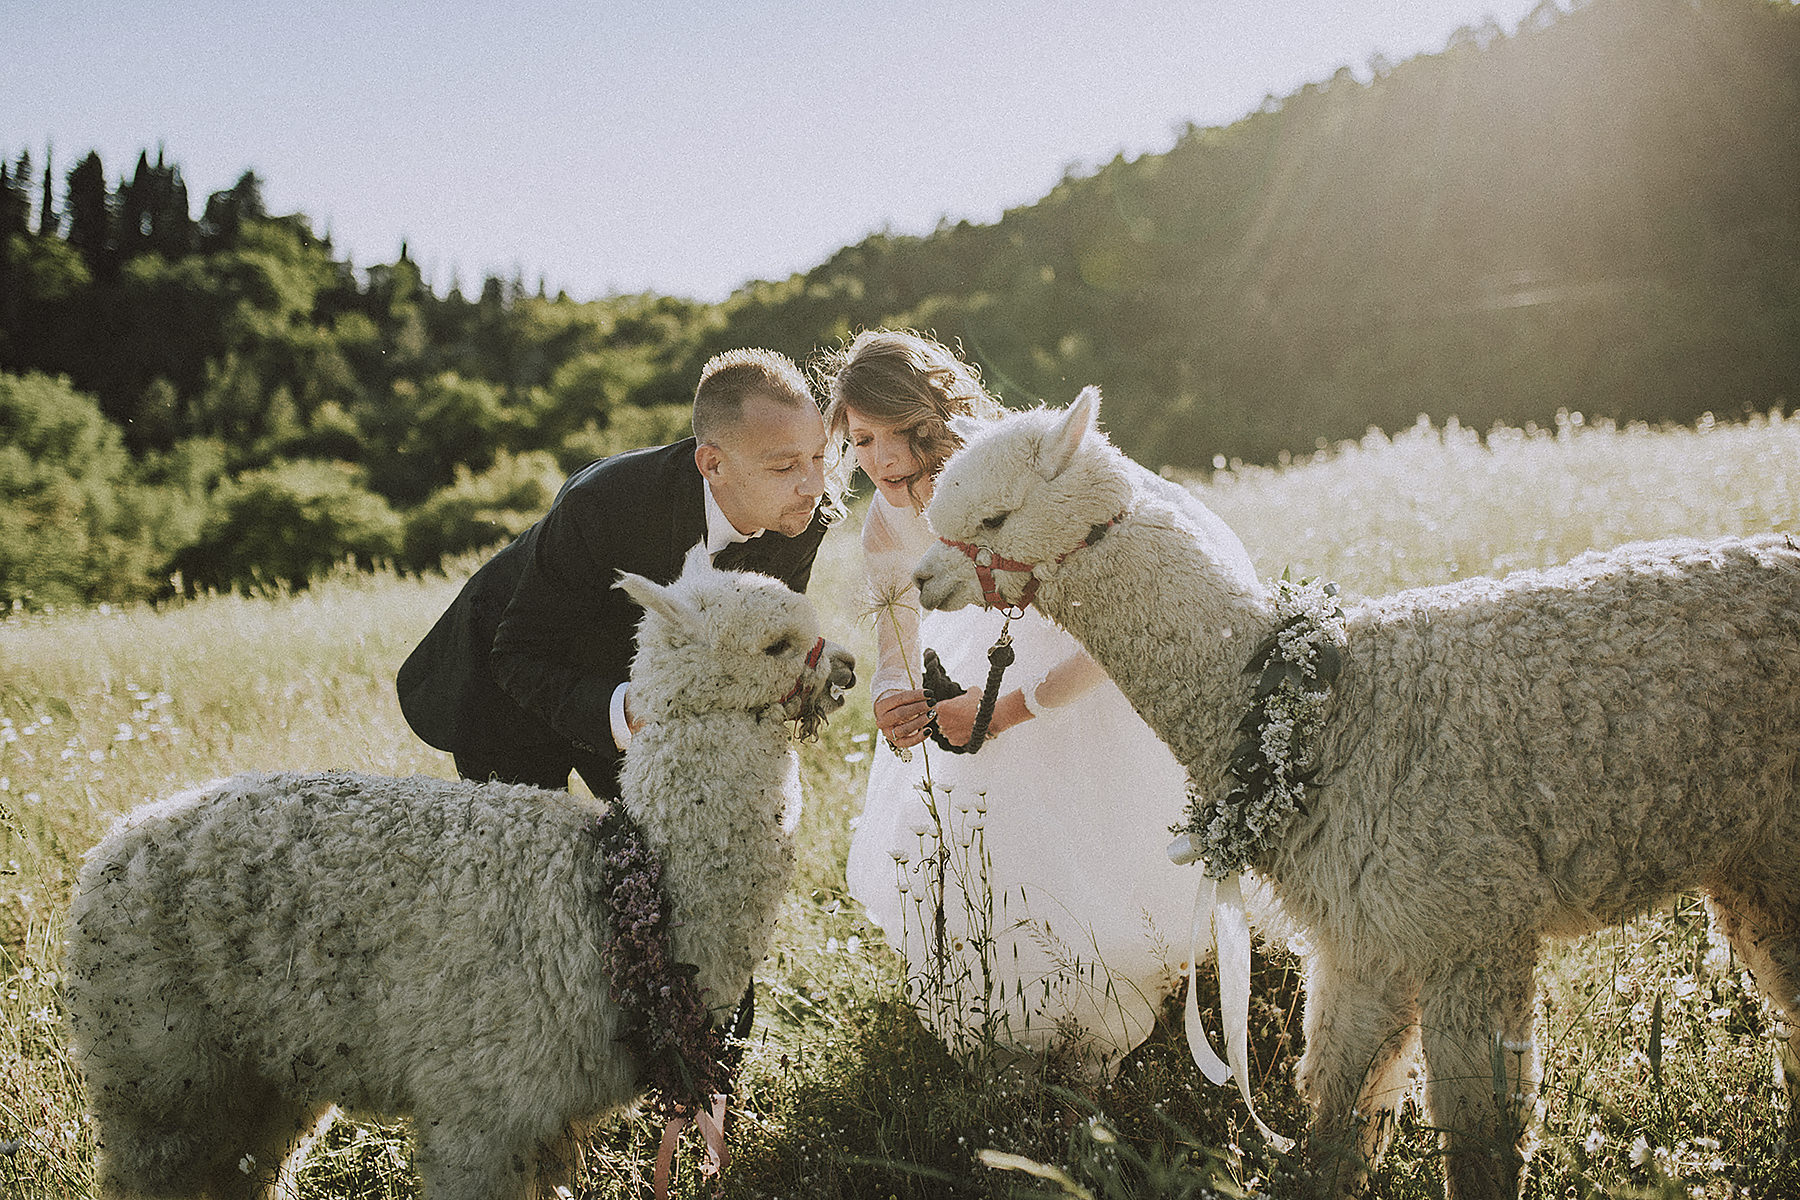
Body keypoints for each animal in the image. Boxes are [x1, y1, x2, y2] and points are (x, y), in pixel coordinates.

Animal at [65, 549, 855, 1200]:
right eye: (775, 644)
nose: (845, 665)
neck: (620, 894)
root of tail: (115, 838)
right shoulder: (479, 1106)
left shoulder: (546, 1121)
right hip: (153, 1062)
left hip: (267, 1068)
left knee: (246, 1171)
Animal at [911, 387, 1800, 1200]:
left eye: (994, 517)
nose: (922, 577)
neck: (1325, 711)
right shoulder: (1363, 938)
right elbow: (1340, 1101)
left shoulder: (1471, 922)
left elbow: (1479, 1125)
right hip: (1754, 859)